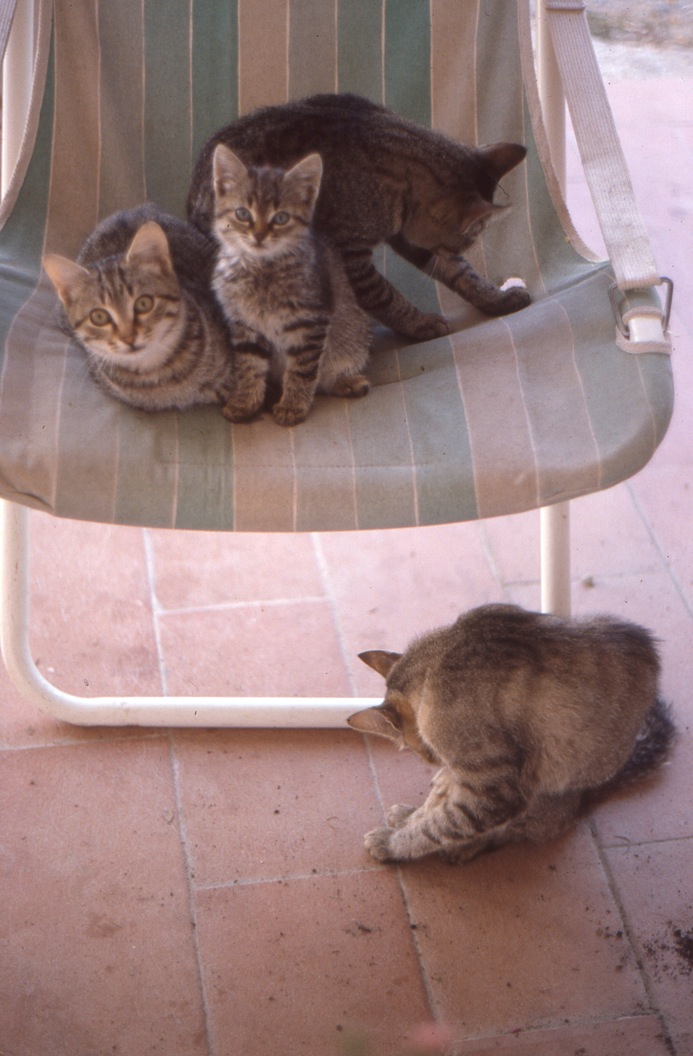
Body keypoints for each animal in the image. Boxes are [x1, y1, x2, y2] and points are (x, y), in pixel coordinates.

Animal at [189, 93, 530, 342]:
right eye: (472, 235)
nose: (464, 247)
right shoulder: (351, 256)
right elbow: (385, 297)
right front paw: (419, 324)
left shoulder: (411, 239)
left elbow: (463, 275)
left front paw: (495, 299)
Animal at [211, 143, 373, 424]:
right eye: (242, 213)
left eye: (281, 218)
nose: (259, 235)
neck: (261, 269)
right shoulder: (244, 325)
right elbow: (249, 367)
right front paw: (246, 402)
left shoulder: (310, 322)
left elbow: (302, 369)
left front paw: (293, 405)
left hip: (354, 335)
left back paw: (347, 381)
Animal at [348, 608, 676, 861]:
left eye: (419, 750)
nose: (431, 760)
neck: (436, 661)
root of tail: (584, 797)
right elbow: (437, 808)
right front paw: (410, 817)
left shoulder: (495, 789)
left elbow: (440, 825)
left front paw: (393, 844)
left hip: (540, 787)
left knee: (522, 828)